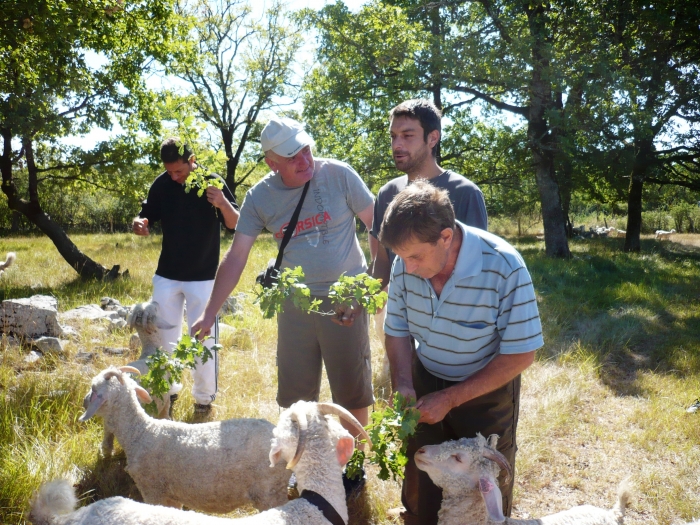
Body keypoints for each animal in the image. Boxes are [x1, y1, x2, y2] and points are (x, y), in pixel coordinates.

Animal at [78, 364, 292, 512]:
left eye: (94, 388)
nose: (84, 401)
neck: (140, 433)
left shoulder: (152, 489)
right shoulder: (171, 496)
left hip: (269, 491)